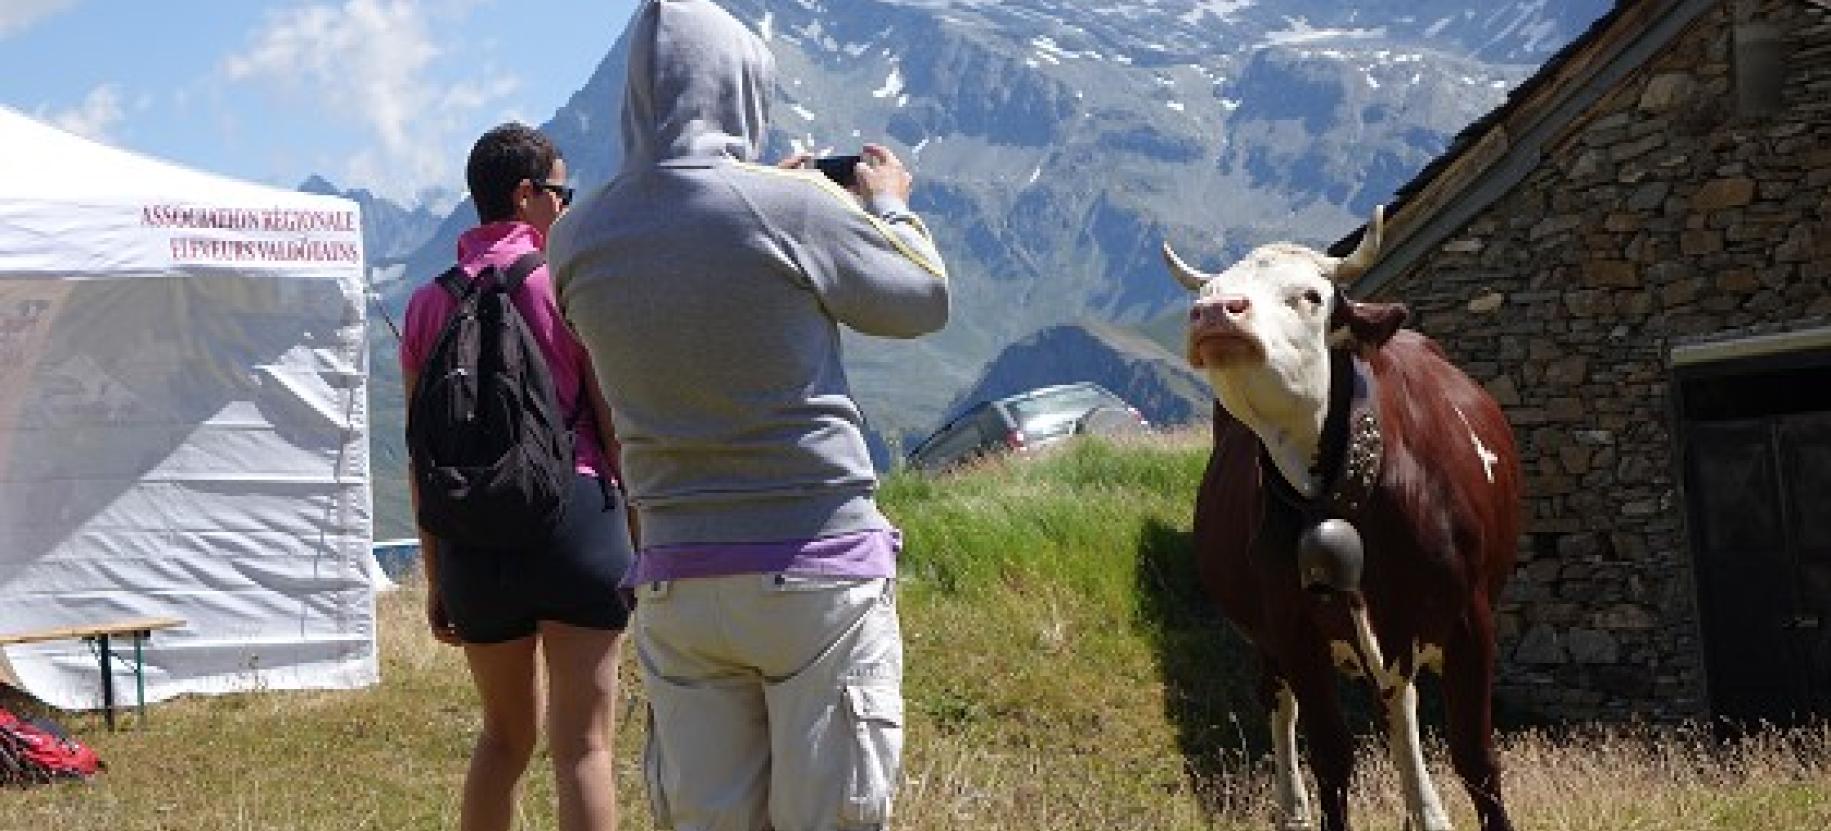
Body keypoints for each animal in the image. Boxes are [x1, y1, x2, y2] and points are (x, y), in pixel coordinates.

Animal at [1164, 203, 1523, 831]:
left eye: (1310, 295)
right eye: (1206, 291)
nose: (1213, 311)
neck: (1347, 496)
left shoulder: (1471, 618)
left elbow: (1475, 755)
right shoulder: (1292, 626)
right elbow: (1330, 752)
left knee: (1400, 701)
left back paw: (1427, 810)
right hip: (1271, 637)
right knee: (1281, 702)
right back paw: (1293, 808)